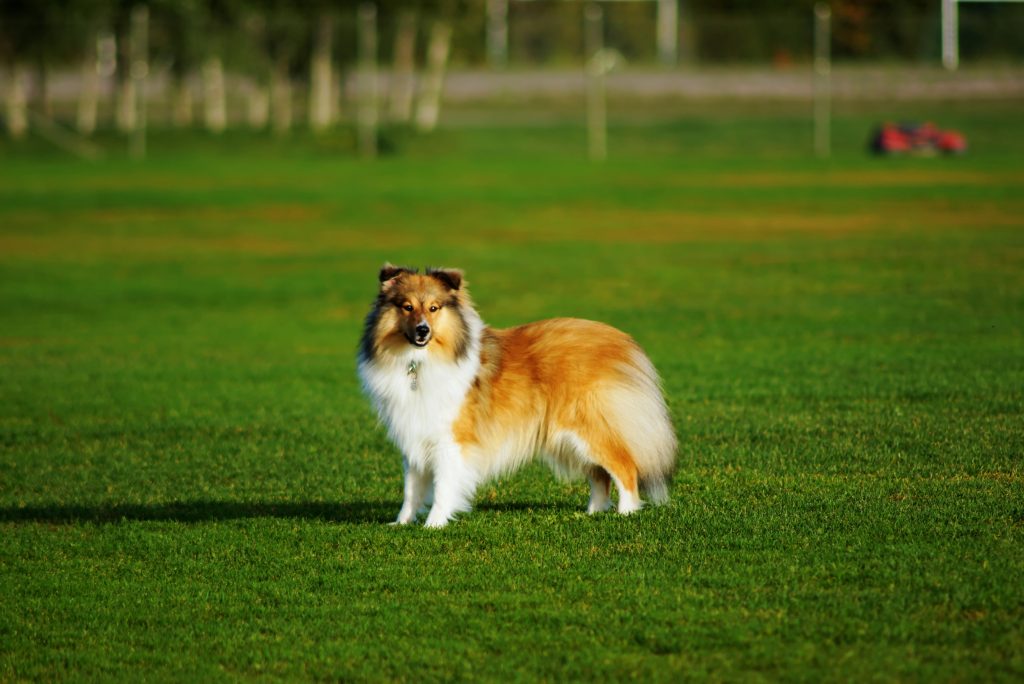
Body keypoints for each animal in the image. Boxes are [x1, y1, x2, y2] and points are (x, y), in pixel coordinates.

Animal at [356, 264, 675, 528]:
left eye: (434, 308)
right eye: (407, 307)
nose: (422, 331)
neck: (418, 363)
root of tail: (622, 341)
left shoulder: (452, 440)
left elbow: (444, 485)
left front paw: (433, 525)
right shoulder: (415, 435)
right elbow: (411, 489)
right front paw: (401, 523)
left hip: (588, 428)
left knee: (625, 467)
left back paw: (626, 513)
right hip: (567, 437)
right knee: (600, 476)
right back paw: (592, 513)